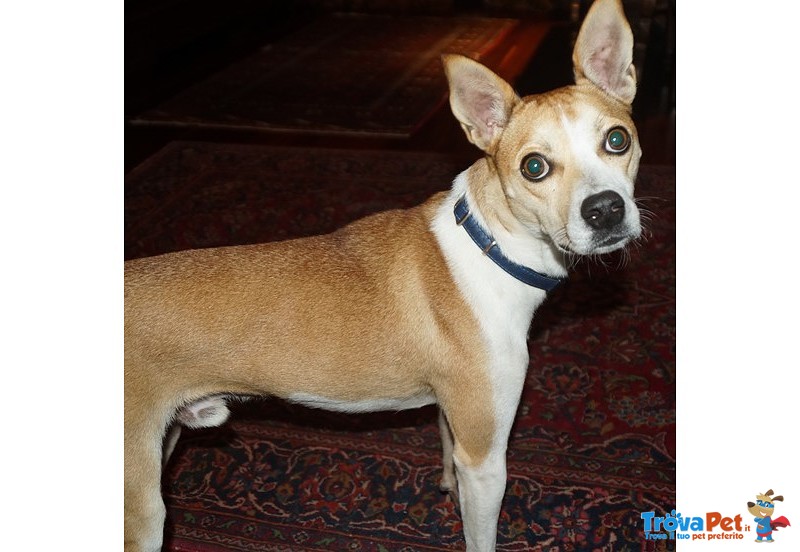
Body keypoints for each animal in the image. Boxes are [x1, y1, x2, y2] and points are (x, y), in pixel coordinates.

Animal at [125, 2, 644, 548]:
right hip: (143, 508)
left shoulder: (454, 420)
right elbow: (481, 534)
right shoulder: (485, 457)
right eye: (534, 167)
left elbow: (447, 458)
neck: (491, 246)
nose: (605, 210)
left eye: (617, 139)